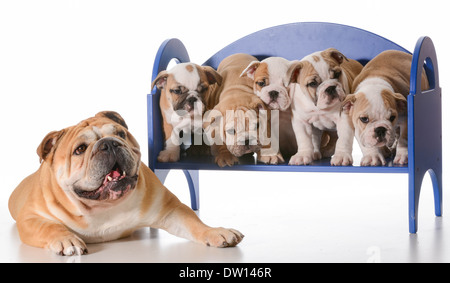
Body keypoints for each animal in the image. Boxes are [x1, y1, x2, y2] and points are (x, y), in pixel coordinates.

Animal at [8, 111, 244, 258]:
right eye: (80, 149)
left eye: (120, 134)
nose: (109, 143)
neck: (102, 207)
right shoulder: (30, 218)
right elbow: (49, 227)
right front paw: (66, 239)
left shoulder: (170, 209)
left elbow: (194, 222)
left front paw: (217, 232)